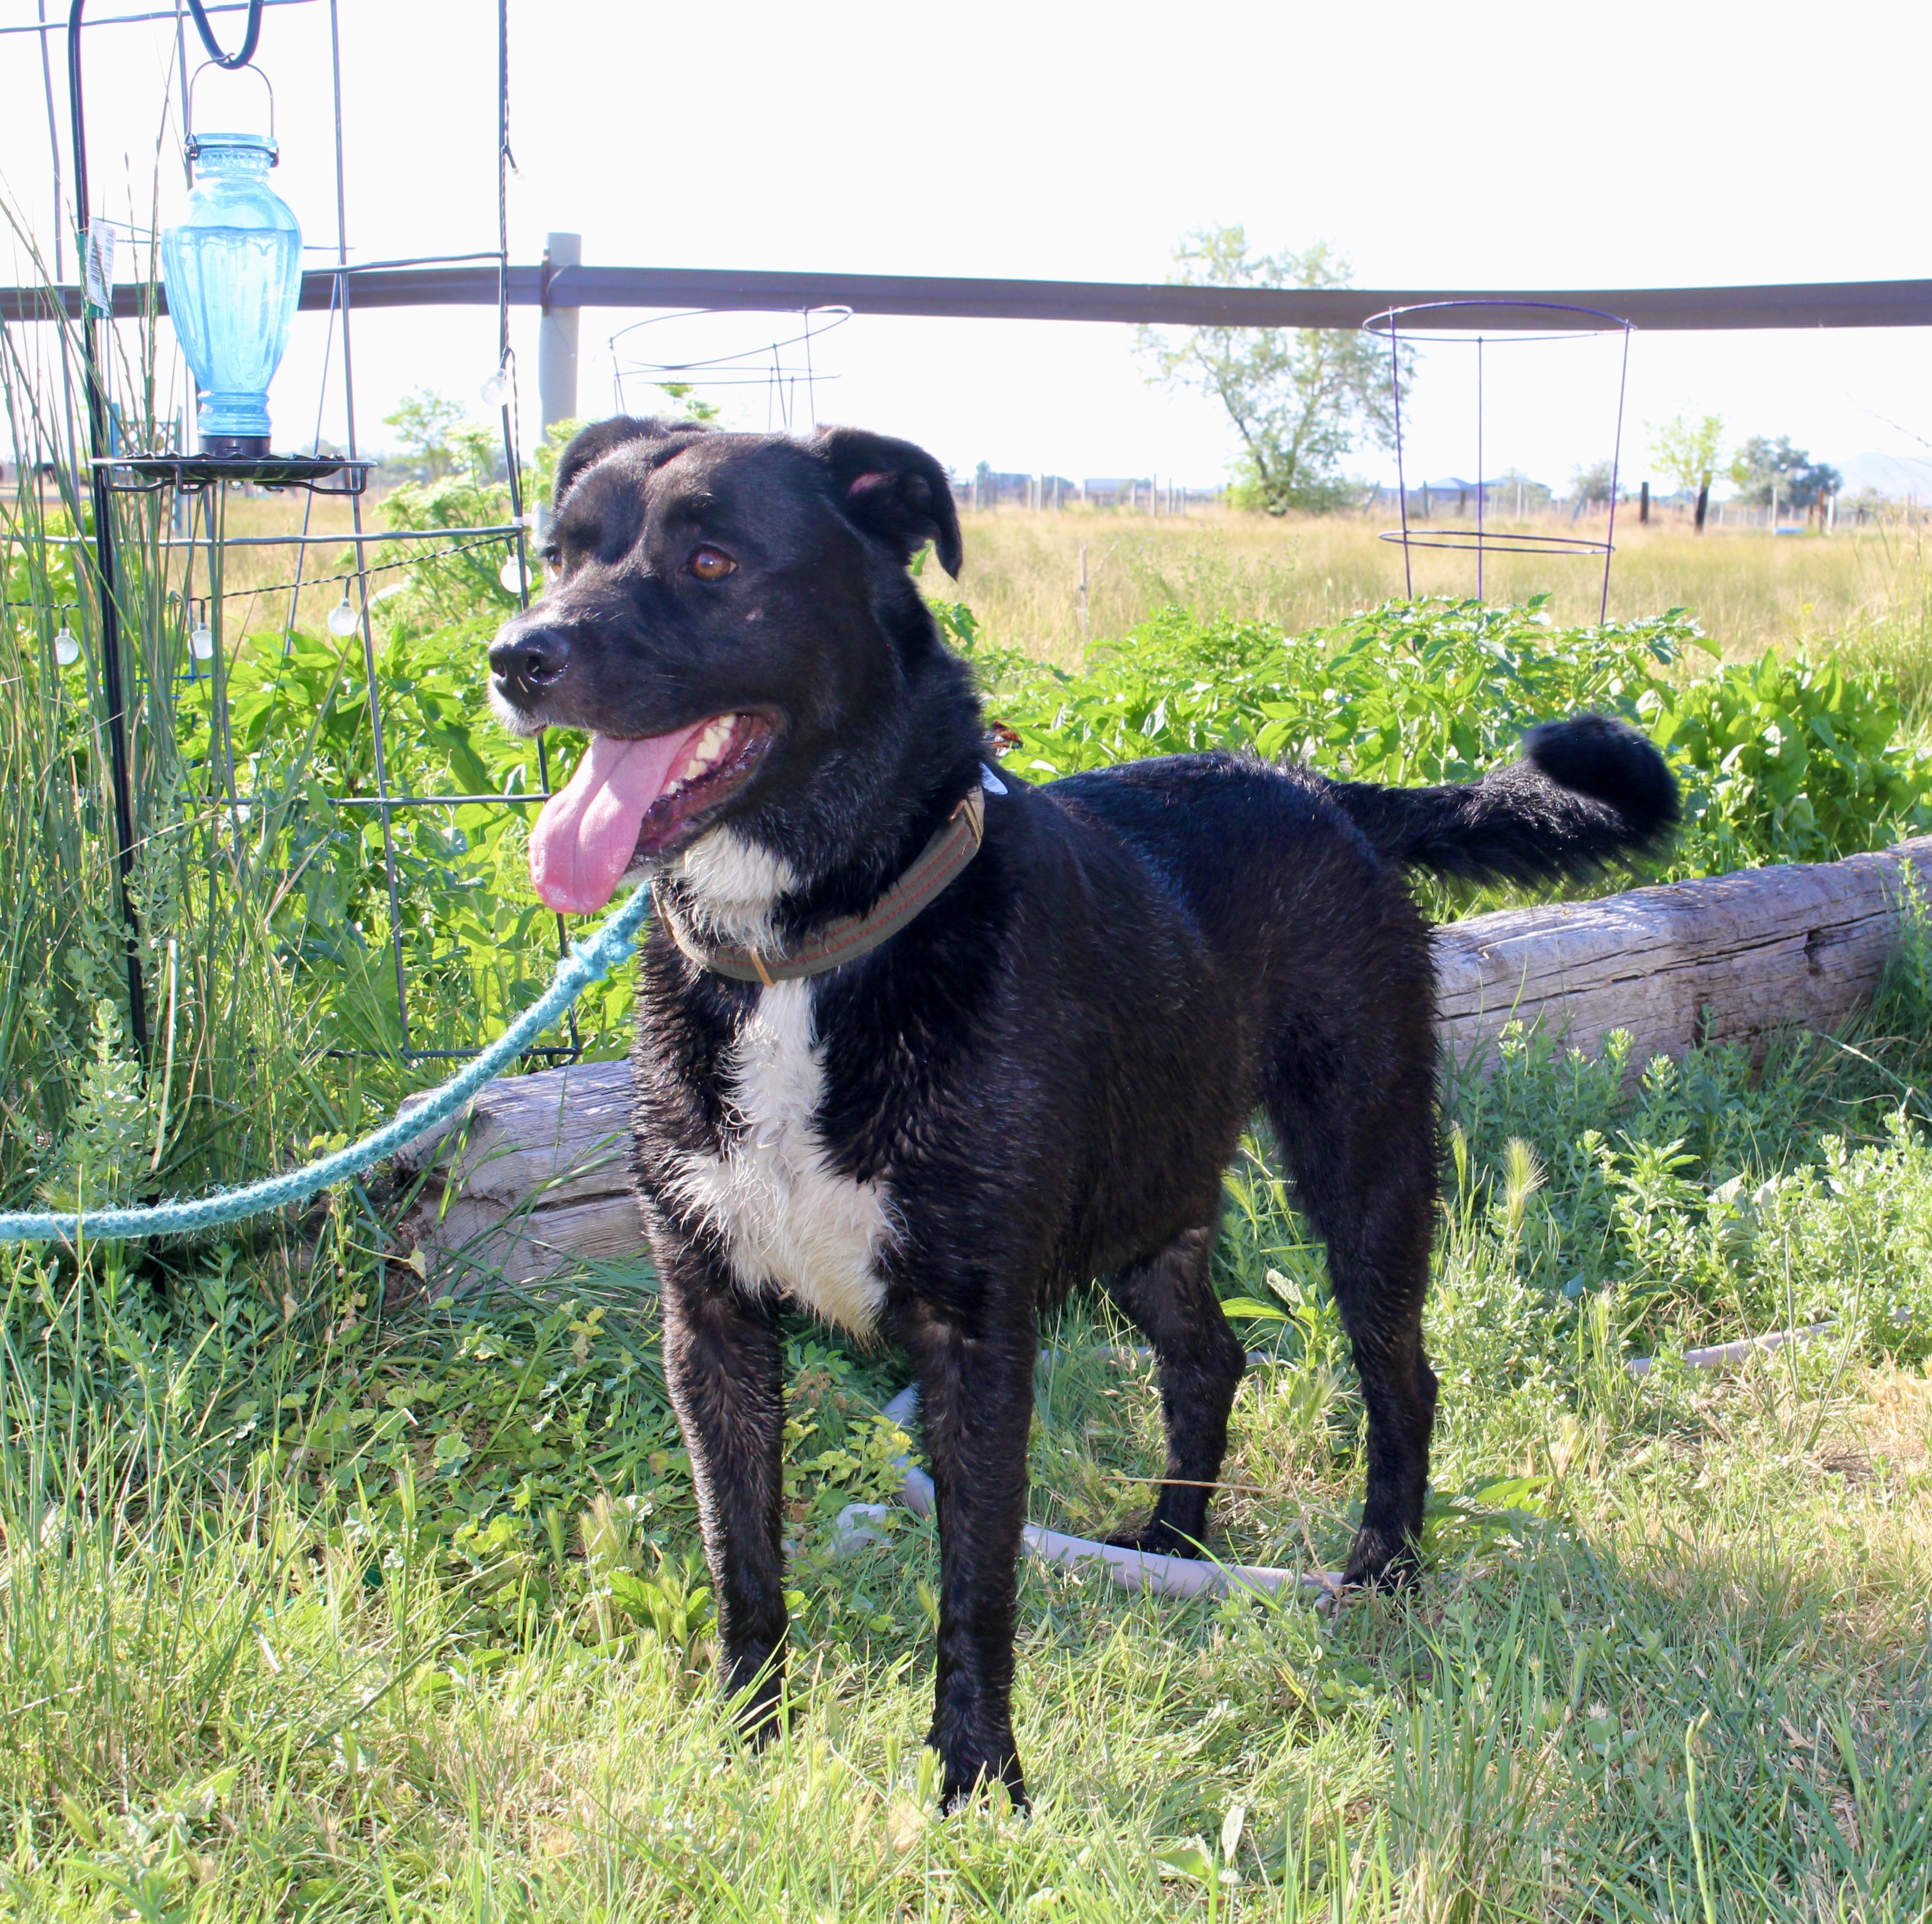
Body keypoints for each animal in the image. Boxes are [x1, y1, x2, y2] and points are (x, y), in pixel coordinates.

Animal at [487, 417, 1676, 1800]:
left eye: (712, 558)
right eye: (563, 553)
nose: (518, 657)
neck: (808, 951)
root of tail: (1322, 790)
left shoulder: (978, 1339)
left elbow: (975, 1589)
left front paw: (975, 1784)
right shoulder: (711, 1320)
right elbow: (742, 1559)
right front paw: (745, 1741)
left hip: (1362, 1164)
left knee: (1400, 1374)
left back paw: (1383, 1567)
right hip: (1143, 1200)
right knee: (1209, 1357)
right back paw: (1172, 1538)